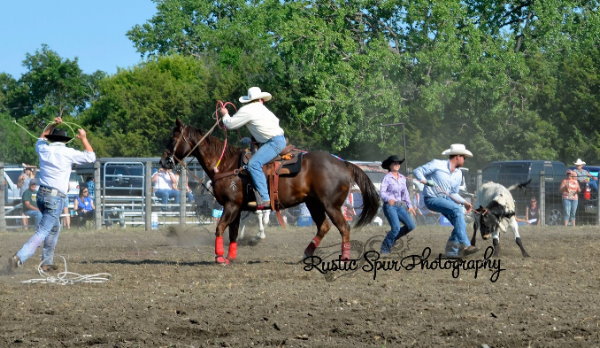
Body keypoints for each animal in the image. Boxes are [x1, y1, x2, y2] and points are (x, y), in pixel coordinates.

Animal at [159, 118, 380, 262]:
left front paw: (220, 257)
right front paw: (231, 256)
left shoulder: (231, 206)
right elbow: (233, 232)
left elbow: (220, 228)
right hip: (313, 203)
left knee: (344, 228)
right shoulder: (237, 207)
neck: (227, 165)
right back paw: (307, 254)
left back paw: (344, 257)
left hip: (331, 205)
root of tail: (344, 164)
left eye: (172, 138)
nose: (163, 161)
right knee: (323, 227)